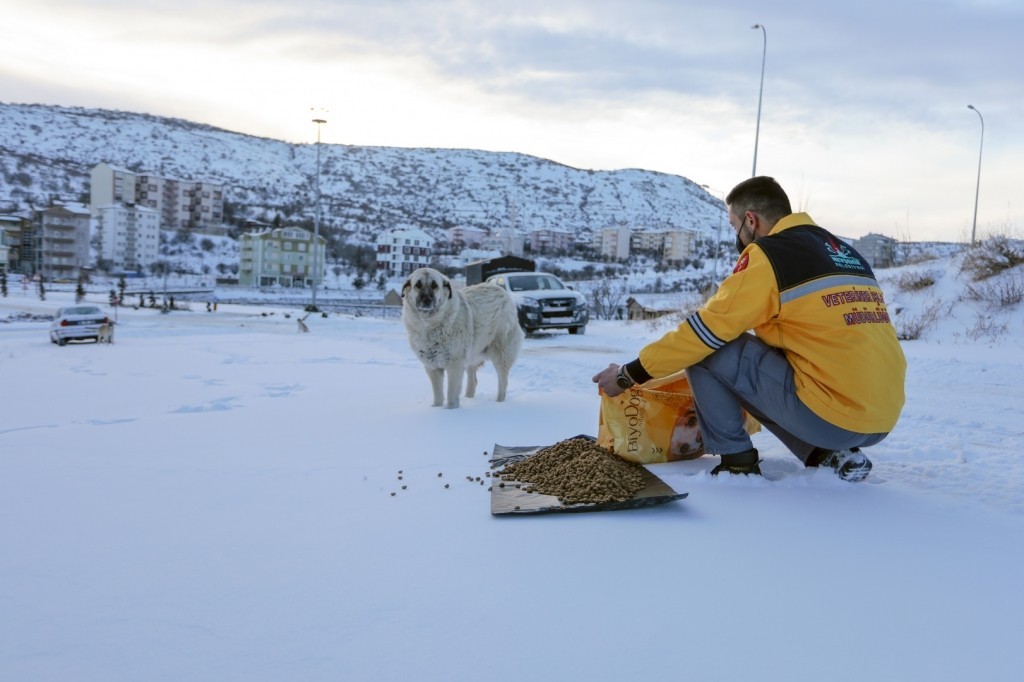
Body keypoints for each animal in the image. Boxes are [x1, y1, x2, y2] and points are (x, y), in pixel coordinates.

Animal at [401, 266, 524, 405]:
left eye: (434, 286)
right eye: (418, 285)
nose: (426, 300)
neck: (429, 324)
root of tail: (502, 292)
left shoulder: (455, 366)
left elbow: (451, 395)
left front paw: (451, 408)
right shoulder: (432, 367)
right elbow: (438, 395)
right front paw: (437, 407)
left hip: (500, 354)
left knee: (503, 382)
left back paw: (499, 403)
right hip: (472, 355)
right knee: (473, 382)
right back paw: (469, 398)